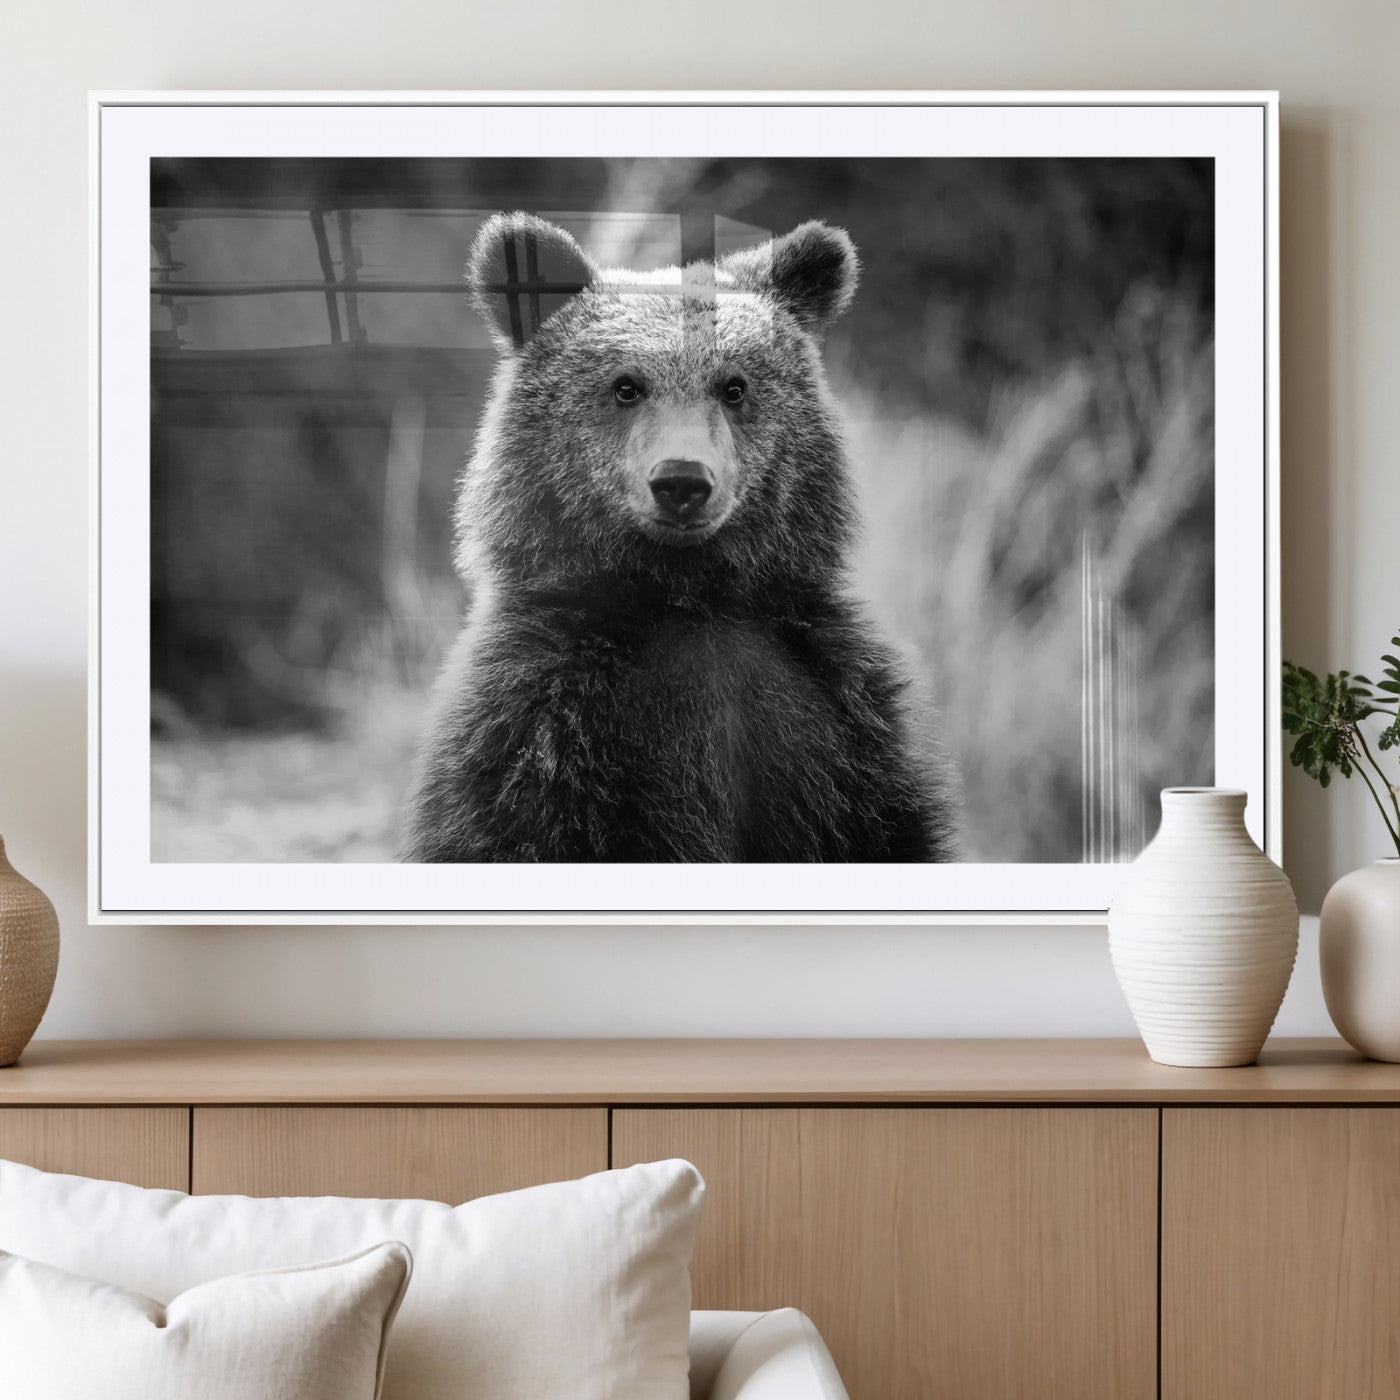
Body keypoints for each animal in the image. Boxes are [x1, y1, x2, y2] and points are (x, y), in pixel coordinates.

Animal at [401, 212, 958, 863]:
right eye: (626, 386)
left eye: (734, 386)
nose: (682, 480)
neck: (688, 597)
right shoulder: (536, 727)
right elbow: (508, 828)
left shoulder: (843, 720)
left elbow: (890, 829)